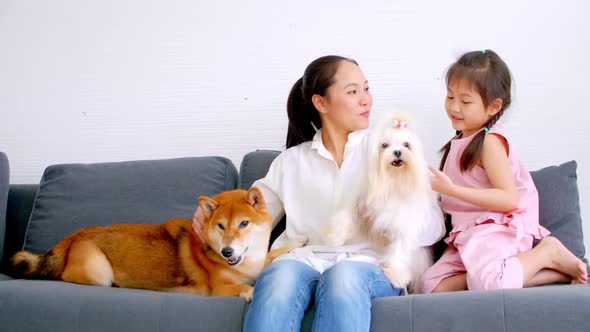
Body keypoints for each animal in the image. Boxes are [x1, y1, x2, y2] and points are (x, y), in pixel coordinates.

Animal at [12, 187, 300, 300]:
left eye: (244, 224)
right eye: (220, 226)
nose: (227, 251)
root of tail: (73, 236)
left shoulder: (259, 262)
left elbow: (275, 253)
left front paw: (300, 239)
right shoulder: (216, 289)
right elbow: (243, 286)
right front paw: (249, 291)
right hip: (98, 271)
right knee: (66, 276)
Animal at [326, 114, 446, 294]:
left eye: (406, 145)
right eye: (384, 145)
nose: (397, 152)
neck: (393, 180)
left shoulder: (405, 221)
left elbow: (400, 247)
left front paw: (396, 274)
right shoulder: (361, 198)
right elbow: (346, 213)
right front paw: (335, 236)